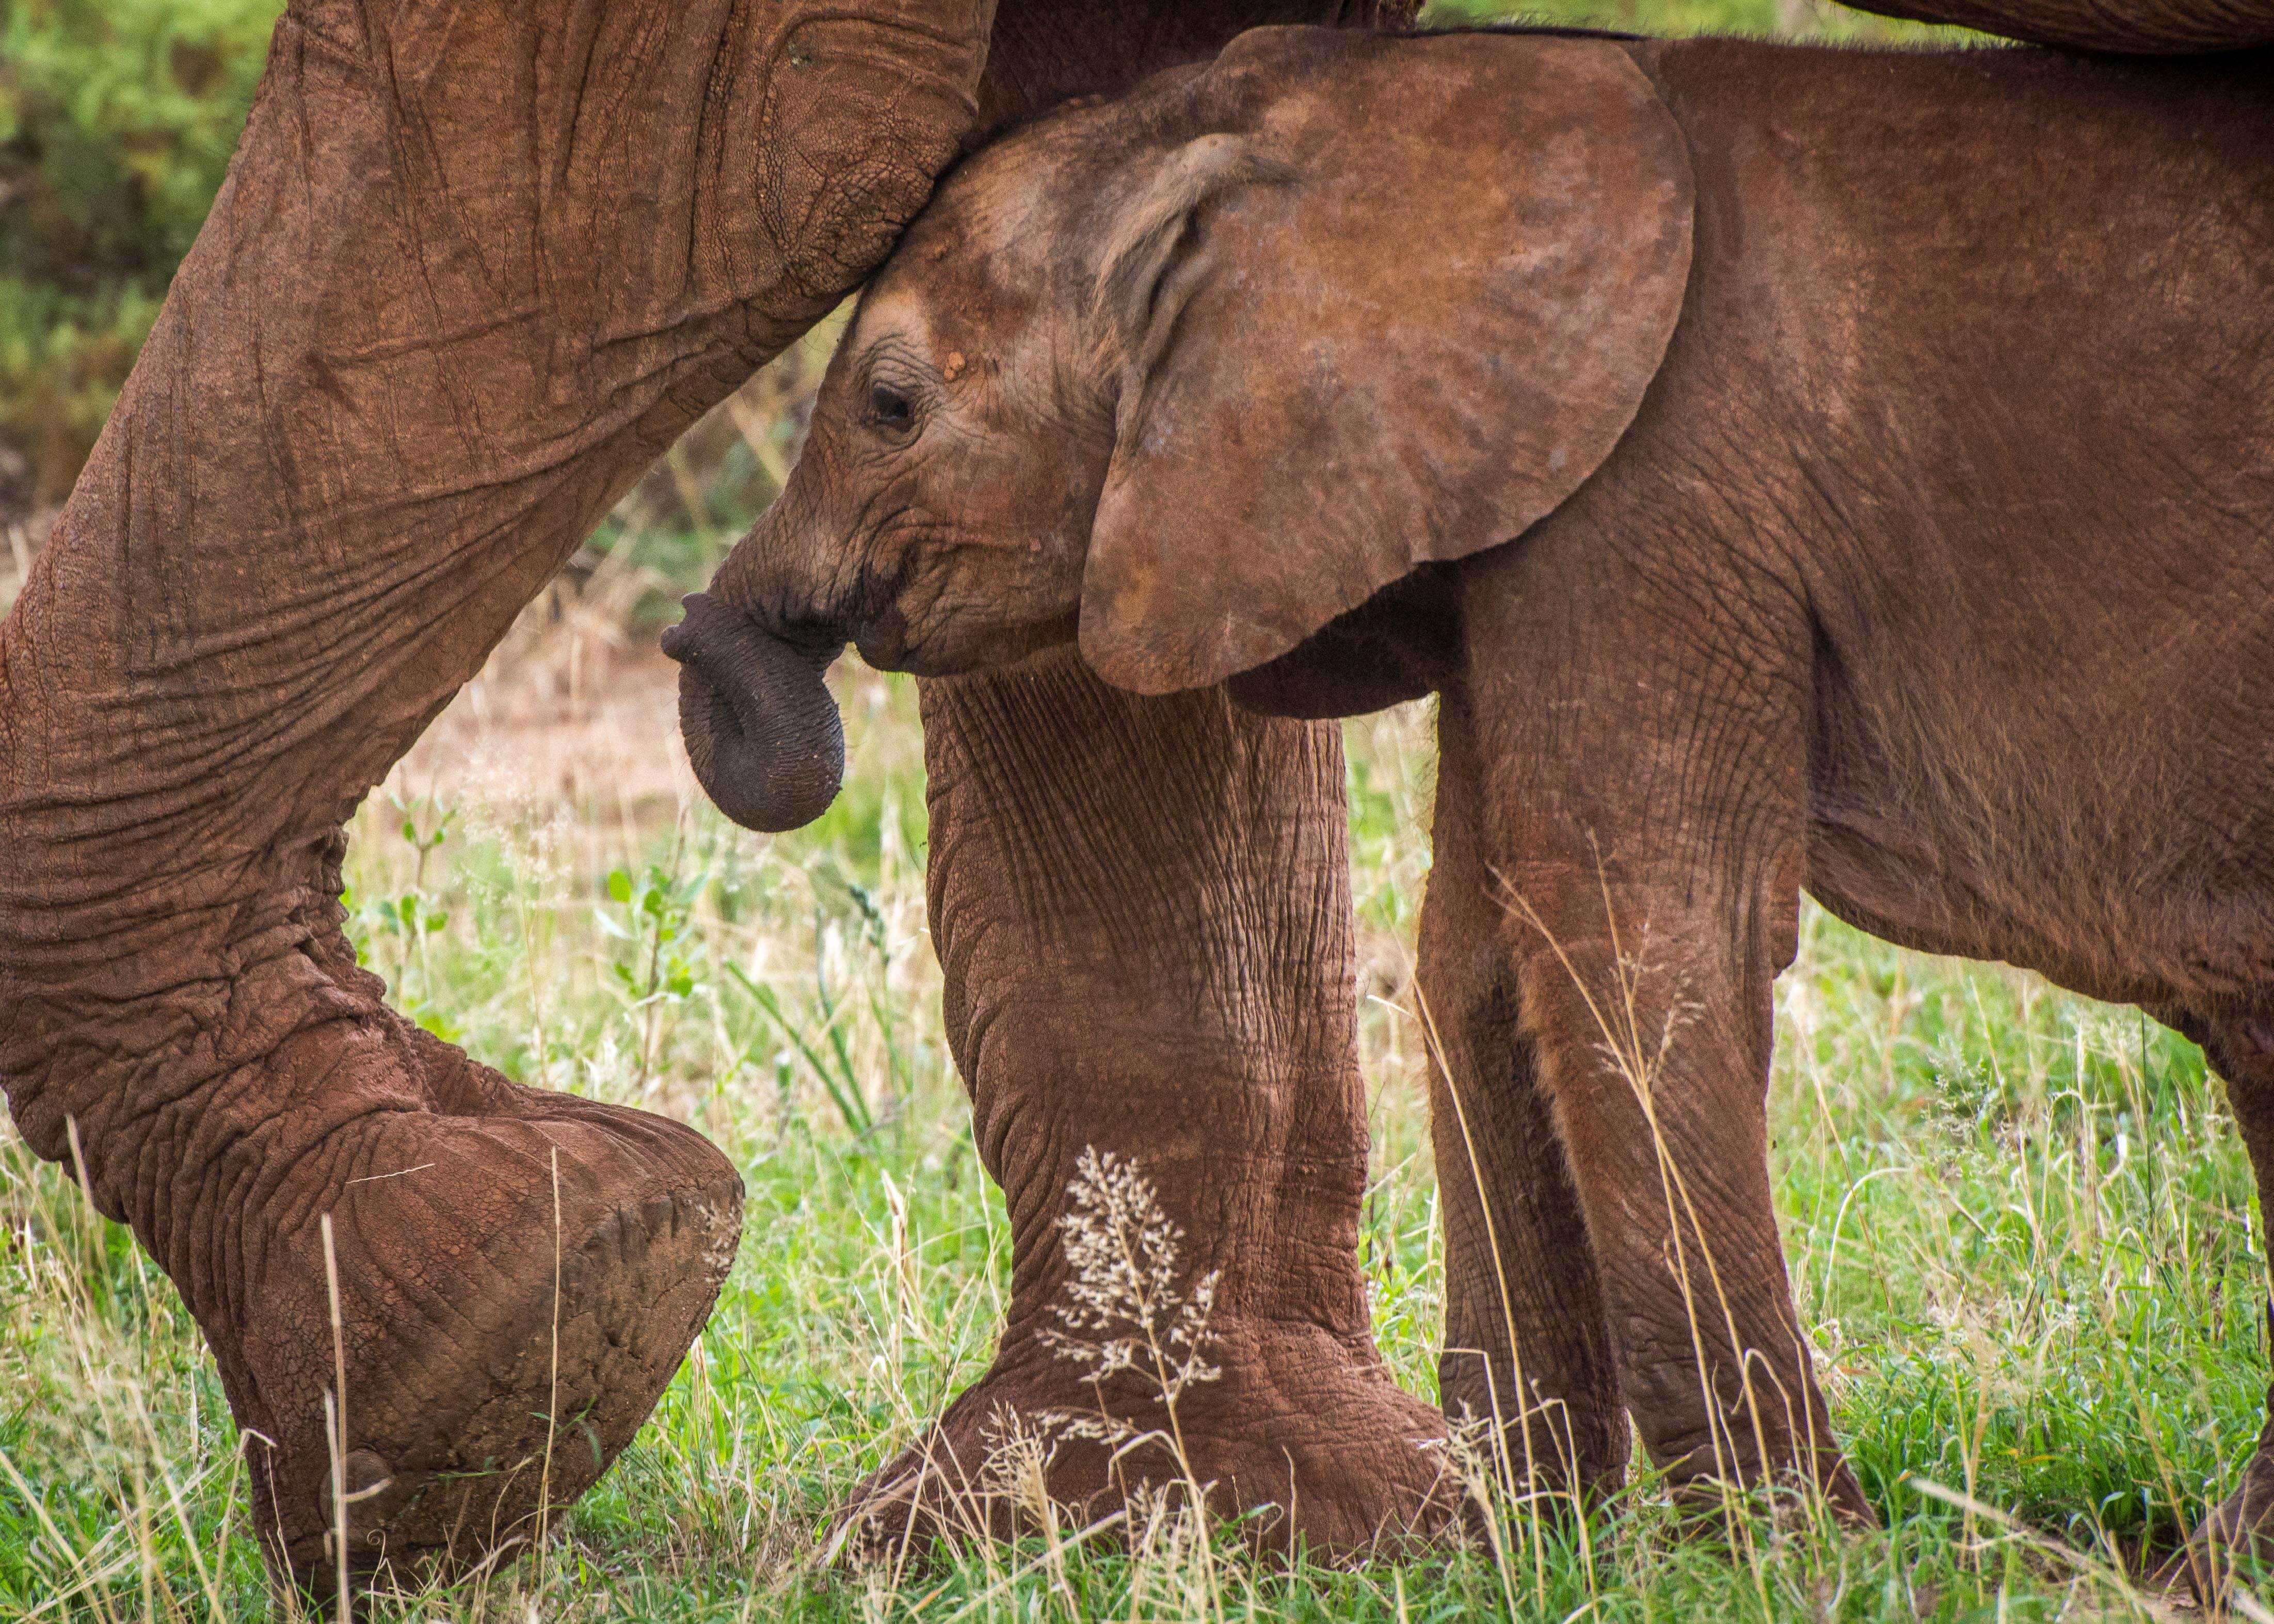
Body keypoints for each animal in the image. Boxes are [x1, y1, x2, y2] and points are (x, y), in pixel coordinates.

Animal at [664, 19, 2274, 1555]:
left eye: (889, 404)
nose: (694, 639)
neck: (1312, 125)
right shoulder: (1523, 509)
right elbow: (1483, 963)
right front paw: (1523, 1540)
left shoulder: (1652, 490)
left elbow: (1630, 945)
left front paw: (1795, 1559)